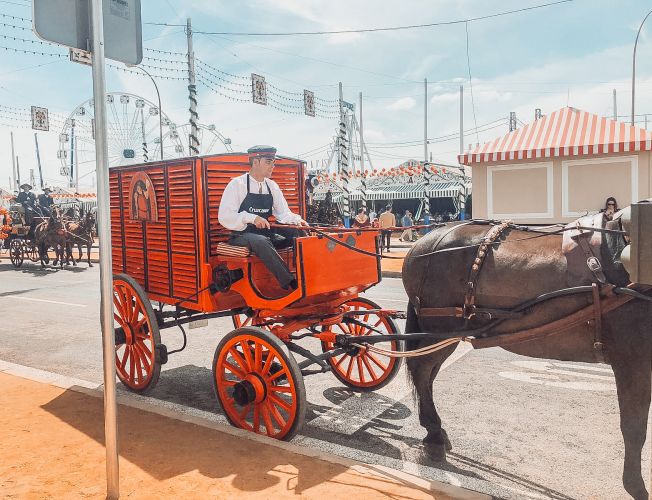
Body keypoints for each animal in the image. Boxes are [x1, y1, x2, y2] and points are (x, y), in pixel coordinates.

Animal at [402, 219, 652, 500]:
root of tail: (426, 241)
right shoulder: (633, 358)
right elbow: (634, 428)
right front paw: (636, 486)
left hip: (446, 334)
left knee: (428, 373)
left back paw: (435, 432)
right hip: (440, 327)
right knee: (421, 369)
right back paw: (434, 435)